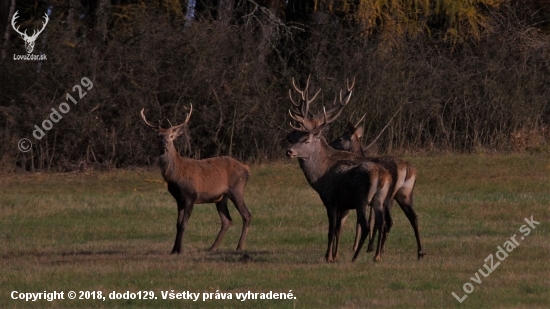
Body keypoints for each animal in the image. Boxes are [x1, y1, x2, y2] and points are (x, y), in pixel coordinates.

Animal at [142, 104, 254, 254]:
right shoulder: (179, 198)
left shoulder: (191, 195)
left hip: (237, 188)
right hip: (221, 197)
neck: (175, 176)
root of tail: (246, 169)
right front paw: (173, 250)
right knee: (227, 220)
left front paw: (181, 250)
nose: (164, 142)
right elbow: (177, 224)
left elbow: (184, 224)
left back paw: (239, 247)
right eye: (158, 135)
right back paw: (212, 248)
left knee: (246, 215)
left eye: (171, 135)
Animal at [286, 76, 394, 260]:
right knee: (385, 223)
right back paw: (377, 254)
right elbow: (339, 230)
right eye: (296, 135)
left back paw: (358, 255)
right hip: (383, 200)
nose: (289, 150)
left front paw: (328, 257)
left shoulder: (330, 199)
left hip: (362, 199)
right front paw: (335, 256)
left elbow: (332, 230)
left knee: (368, 225)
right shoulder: (344, 205)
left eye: (306, 139)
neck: (320, 174)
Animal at [330, 114, 430, 258]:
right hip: (404, 194)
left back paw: (380, 250)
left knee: (389, 221)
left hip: (390, 196)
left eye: (340, 138)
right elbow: (373, 220)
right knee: (413, 217)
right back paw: (420, 252)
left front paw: (359, 246)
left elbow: (365, 221)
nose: (329, 144)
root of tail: (408, 169)